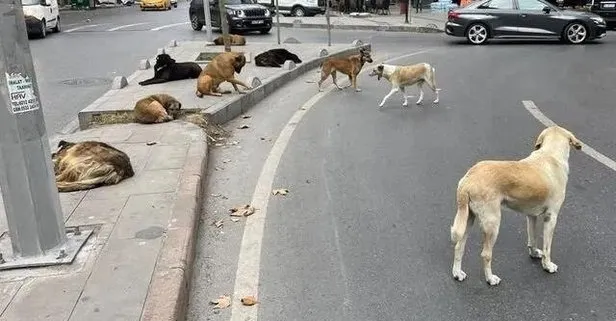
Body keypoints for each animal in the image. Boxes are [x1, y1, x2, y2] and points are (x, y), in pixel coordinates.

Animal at [450, 125, 580, 284]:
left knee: (459, 246)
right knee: (485, 254)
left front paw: (534, 253)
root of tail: (468, 179)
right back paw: (490, 279)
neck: (550, 155)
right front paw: (547, 265)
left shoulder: (531, 216)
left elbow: (532, 238)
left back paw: (457, 273)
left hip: (468, 219)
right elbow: (547, 248)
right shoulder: (551, 217)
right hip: (492, 224)